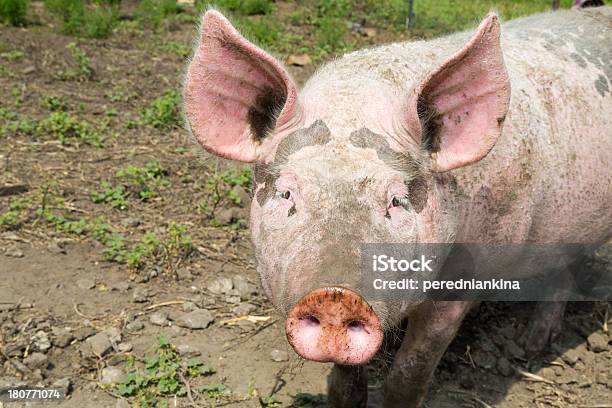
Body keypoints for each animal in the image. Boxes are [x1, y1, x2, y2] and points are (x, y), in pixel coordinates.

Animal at [183, 7, 612, 408]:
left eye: (397, 200)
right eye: (287, 194)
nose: (335, 295)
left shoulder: (463, 284)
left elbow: (408, 376)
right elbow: (346, 380)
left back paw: (532, 345)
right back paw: (534, 343)